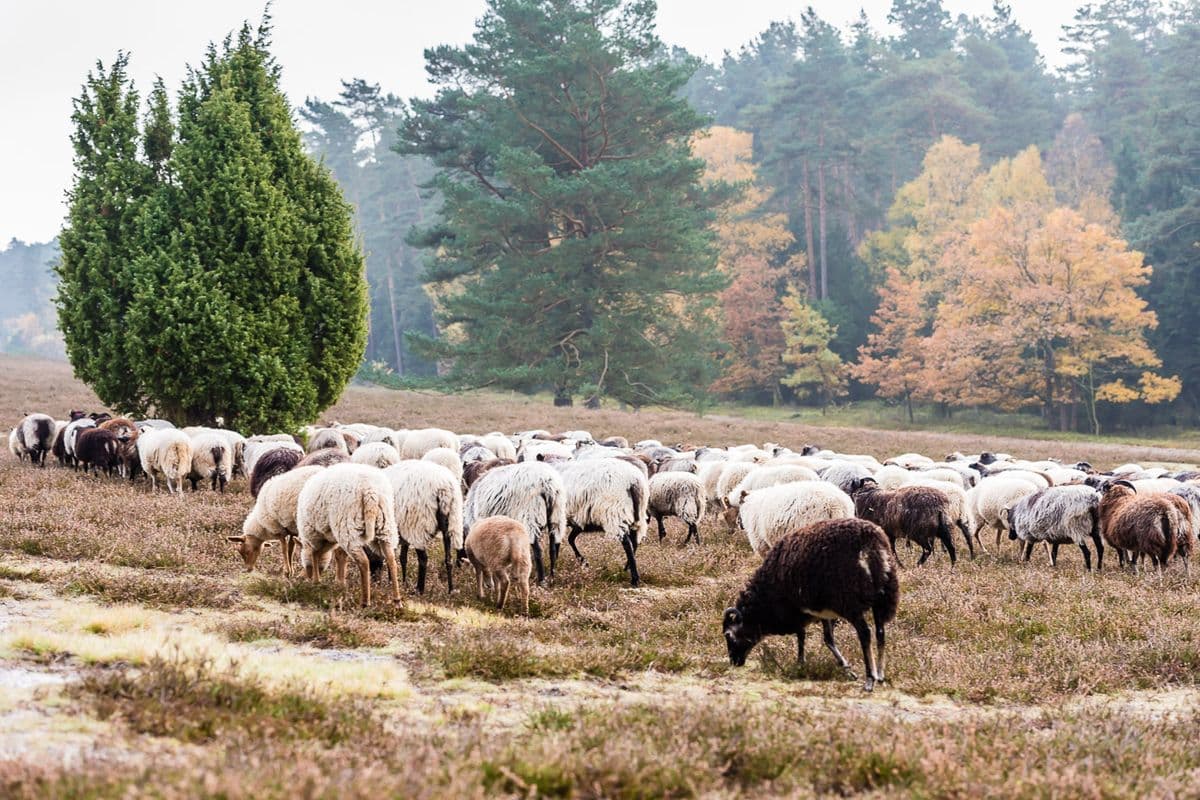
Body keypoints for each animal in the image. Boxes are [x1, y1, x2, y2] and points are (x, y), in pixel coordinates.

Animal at [296, 462, 400, 606]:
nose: (300, 578)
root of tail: (370, 491)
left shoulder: (313, 535)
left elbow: (315, 555)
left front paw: (316, 582)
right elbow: (339, 555)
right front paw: (339, 583)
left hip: (347, 527)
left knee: (364, 562)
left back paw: (365, 602)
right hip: (385, 525)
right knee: (391, 559)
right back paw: (397, 601)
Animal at [384, 460, 463, 597]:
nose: (375, 579)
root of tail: (443, 488)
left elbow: (392, 557)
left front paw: (393, 582)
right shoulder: (403, 532)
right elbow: (402, 557)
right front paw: (403, 582)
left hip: (418, 526)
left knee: (423, 559)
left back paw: (419, 589)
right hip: (450, 521)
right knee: (448, 558)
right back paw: (451, 590)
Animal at [552, 455, 648, 587]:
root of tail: (634, 480)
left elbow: (558, 542)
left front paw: (554, 568)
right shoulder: (579, 521)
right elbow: (570, 539)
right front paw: (583, 562)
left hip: (615, 513)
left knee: (627, 543)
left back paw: (634, 579)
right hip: (636, 515)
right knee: (634, 542)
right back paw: (626, 568)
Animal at [720, 520, 902, 695]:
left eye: (728, 635)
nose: (734, 662)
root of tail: (870, 544)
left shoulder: (797, 610)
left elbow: (802, 635)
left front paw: (800, 664)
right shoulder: (822, 611)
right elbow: (828, 639)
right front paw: (847, 669)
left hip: (850, 602)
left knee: (865, 633)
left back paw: (870, 679)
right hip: (884, 596)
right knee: (880, 633)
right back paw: (881, 675)